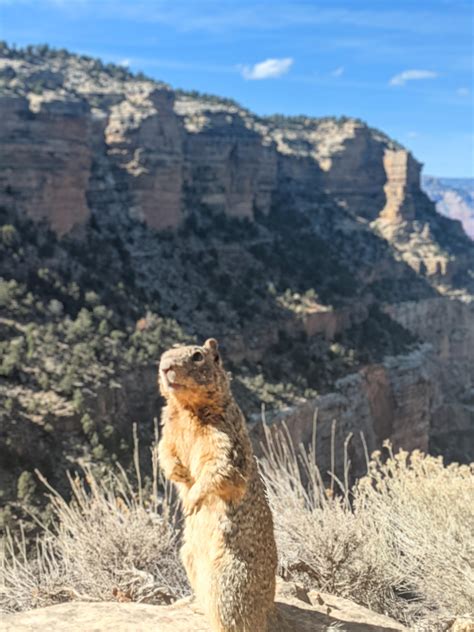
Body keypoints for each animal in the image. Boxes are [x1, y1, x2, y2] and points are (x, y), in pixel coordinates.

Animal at [158, 340, 278, 632]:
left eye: (197, 356)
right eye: (164, 354)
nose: (165, 367)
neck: (186, 411)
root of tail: (267, 611)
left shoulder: (224, 442)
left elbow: (217, 471)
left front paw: (192, 501)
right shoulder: (167, 433)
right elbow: (164, 452)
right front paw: (178, 473)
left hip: (229, 583)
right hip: (189, 556)